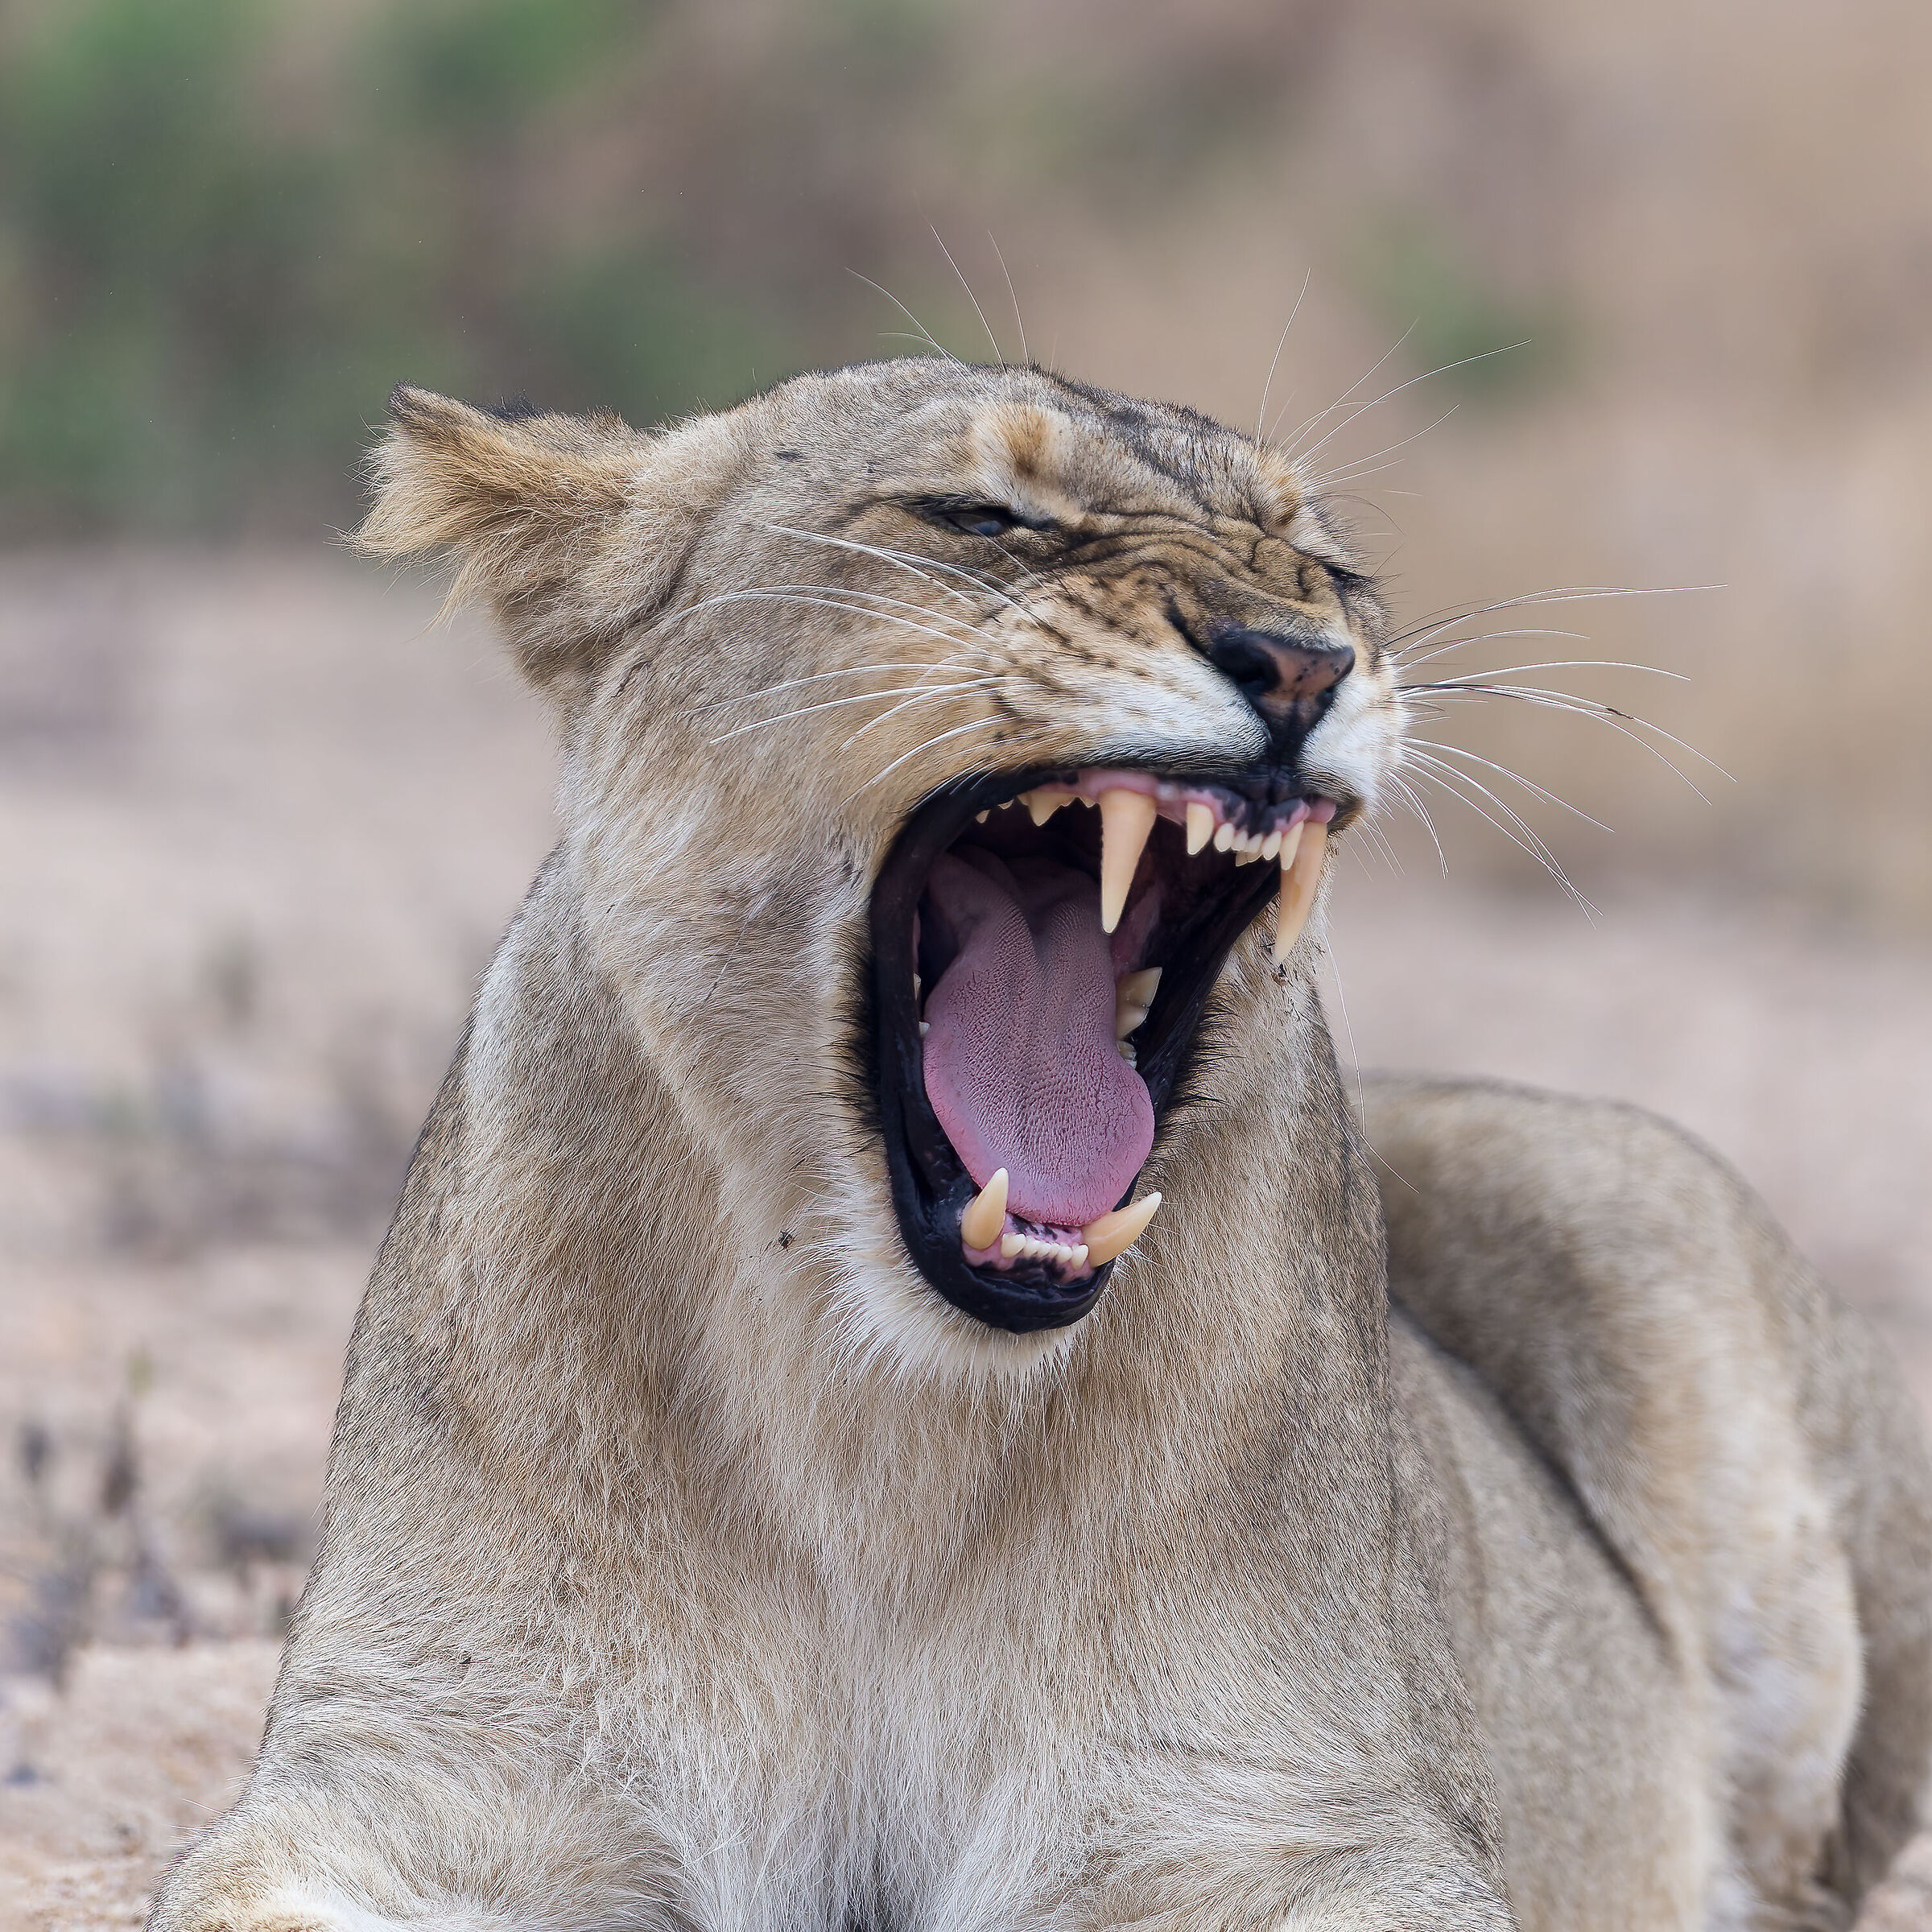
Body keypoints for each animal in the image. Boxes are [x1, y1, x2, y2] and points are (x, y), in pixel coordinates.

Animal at [149, 361, 1931, 1931]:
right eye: (984, 515)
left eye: (1332, 567)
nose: (1299, 663)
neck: (870, 1410)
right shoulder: (424, 1779)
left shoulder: (1291, 1815)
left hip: (1635, 1222)